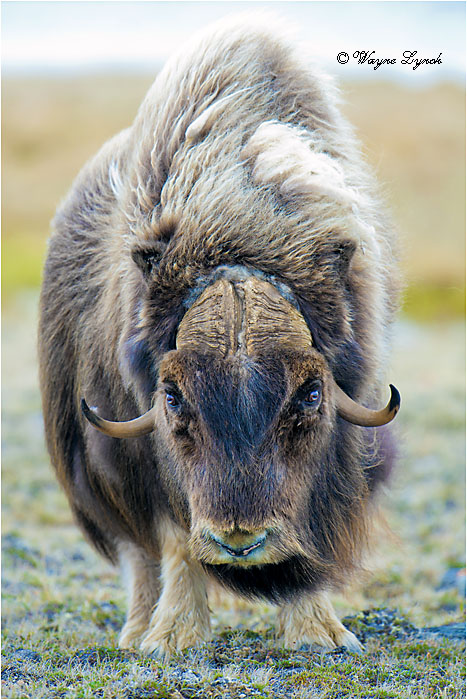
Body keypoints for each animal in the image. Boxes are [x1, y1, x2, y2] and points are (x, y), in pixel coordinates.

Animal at [38, 15, 400, 657]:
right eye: (172, 395)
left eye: (311, 393)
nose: (240, 540)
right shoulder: (139, 460)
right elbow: (174, 539)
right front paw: (173, 641)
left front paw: (322, 636)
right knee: (140, 557)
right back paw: (136, 634)